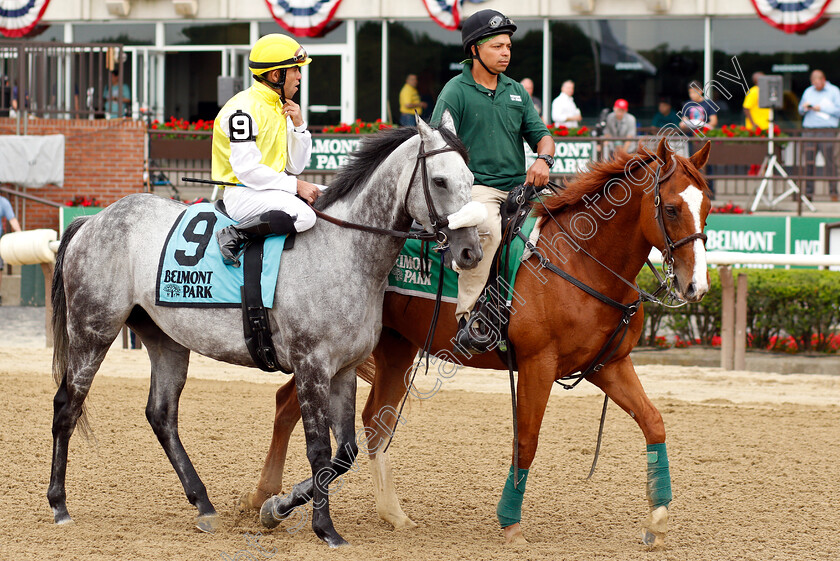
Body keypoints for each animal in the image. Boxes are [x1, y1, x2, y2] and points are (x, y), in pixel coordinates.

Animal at [47, 114, 480, 548]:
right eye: (440, 181)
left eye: (471, 178)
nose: (471, 252)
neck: (343, 251)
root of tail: (94, 219)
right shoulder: (311, 366)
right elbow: (319, 450)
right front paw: (324, 528)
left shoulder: (343, 370)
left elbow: (345, 453)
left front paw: (277, 507)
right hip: (93, 330)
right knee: (67, 406)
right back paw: (59, 506)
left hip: (165, 340)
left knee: (161, 415)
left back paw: (204, 505)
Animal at [241, 139, 708, 548]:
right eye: (671, 208)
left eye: (706, 206)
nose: (696, 286)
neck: (578, 261)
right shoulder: (539, 364)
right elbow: (526, 440)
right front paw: (510, 523)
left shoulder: (609, 364)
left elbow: (654, 421)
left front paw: (658, 518)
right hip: (337, 351)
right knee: (297, 405)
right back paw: (263, 496)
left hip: (390, 349)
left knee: (368, 420)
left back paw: (376, 511)